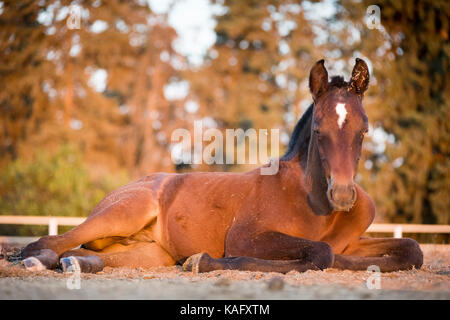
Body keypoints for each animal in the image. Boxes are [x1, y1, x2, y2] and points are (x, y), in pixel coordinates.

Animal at [20, 58, 422, 274]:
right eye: (319, 130)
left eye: (364, 129)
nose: (342, 195)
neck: (315, 204)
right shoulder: (247, 236)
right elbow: (321, 252)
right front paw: (204, 262)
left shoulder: (352, 240)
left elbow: (411, 250)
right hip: (124, 212)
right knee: (51, 242)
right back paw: (38, 261)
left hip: (147, 252)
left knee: (78, 253)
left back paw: (77, 264)